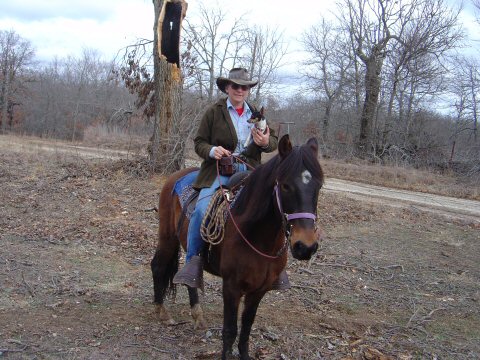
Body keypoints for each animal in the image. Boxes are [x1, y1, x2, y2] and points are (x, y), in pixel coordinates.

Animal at [151, 136, 322, 360]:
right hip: (167, 237)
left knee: (190, 277)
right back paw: (161, 312)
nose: (306, 246)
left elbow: (246, 328)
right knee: (158, 266)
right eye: (285, 185)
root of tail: (176, 177)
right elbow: (230, 330)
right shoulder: (231, 287)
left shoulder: (259, 290)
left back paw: (197, 315)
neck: (256, 235)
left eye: (319, 186)